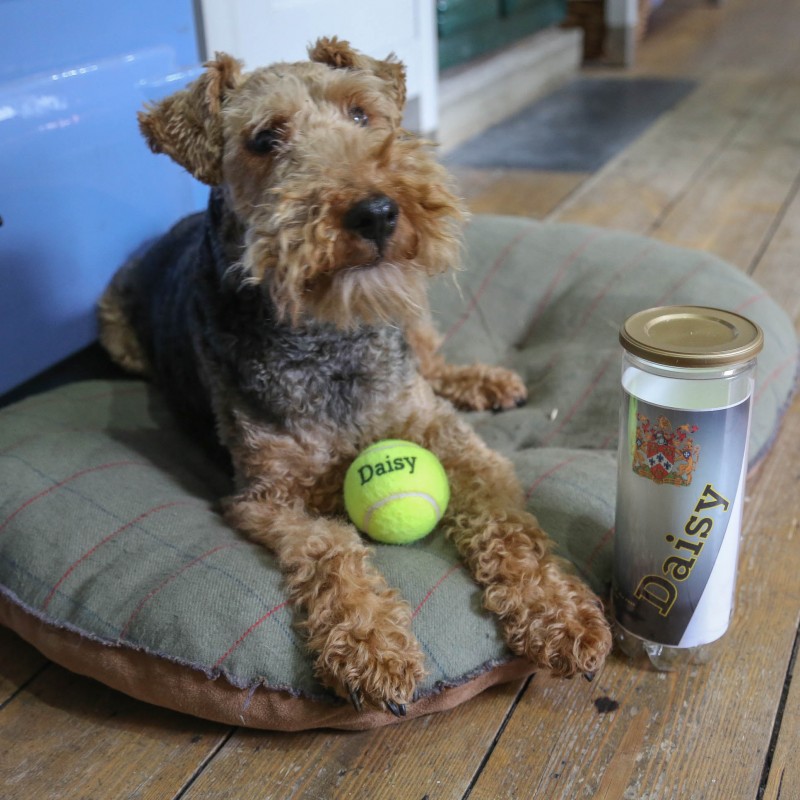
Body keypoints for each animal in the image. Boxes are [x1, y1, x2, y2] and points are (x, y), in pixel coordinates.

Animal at [100, 37, 612, 716]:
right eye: (265, 139)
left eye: (362, 114)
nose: (375, 212)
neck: (327, 340)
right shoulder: (264, 496)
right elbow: (332, 546)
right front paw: (372, 651)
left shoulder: (456, 445)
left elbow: (509, 526)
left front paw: (559, 614)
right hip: (115, 330)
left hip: (410, 309)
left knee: (430, 356)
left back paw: (489, 381)